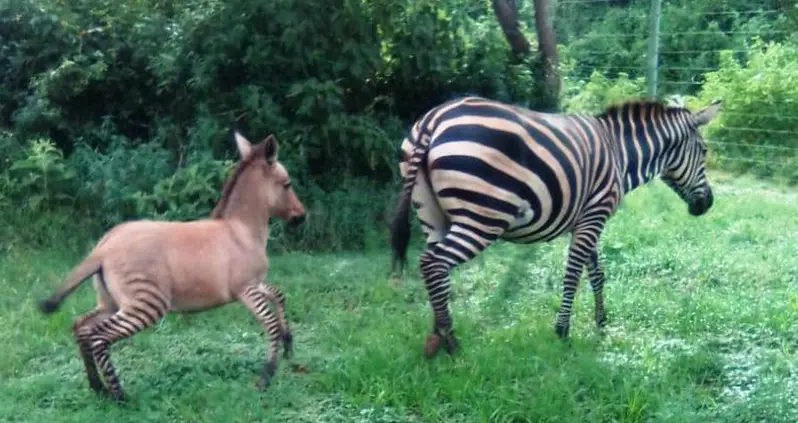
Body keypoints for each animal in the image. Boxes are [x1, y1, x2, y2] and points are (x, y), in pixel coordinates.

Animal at [389, 95, 722, 358]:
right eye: (705, 152)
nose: (708, 204)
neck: (620, 154)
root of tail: (434, 118)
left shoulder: (586, 219)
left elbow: (597, 273)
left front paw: (601, 323)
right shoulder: (594, 215)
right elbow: (573, 274)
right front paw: (562, 331)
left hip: (432, 215)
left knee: (436, 271)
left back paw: (436, 336)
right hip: (482, 217)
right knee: (433, 264)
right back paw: (451, 342)